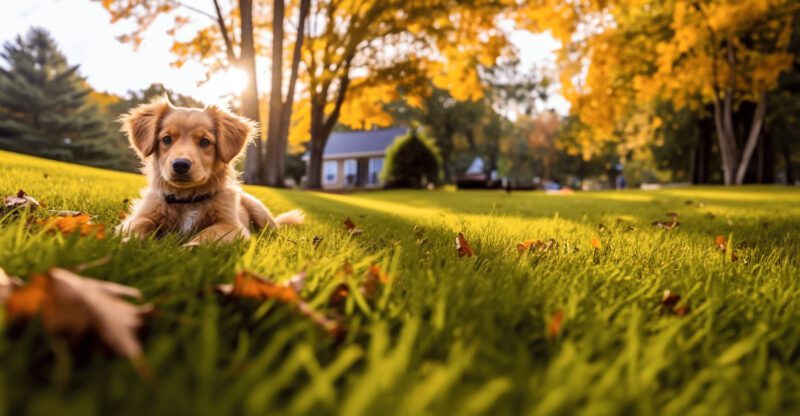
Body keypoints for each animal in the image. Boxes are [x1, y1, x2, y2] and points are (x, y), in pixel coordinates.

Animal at [117, 97, 304, 245]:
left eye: (205, 141)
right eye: (167, 139)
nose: (180, 164)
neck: (187, 199)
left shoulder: (232, 226)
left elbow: (209, 233)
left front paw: (190, 248)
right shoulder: (142, 214)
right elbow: (139, 224)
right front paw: (127, 242)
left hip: (260, 211)